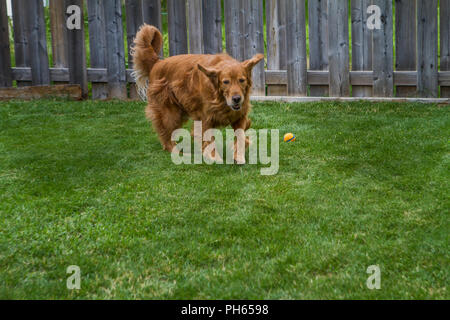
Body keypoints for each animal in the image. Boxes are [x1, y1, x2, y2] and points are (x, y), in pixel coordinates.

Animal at [131, 24, 264, 162]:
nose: (237, 99)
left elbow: (241, 134)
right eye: (225, 82)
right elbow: (209, 140)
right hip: (170, 113)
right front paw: (214, 157)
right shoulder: (205, 118)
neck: (221, 100)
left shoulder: (239, 115)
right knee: (166, 134)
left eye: (242, 80)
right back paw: (177, 152)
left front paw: (239, 155)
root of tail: (157, 63)